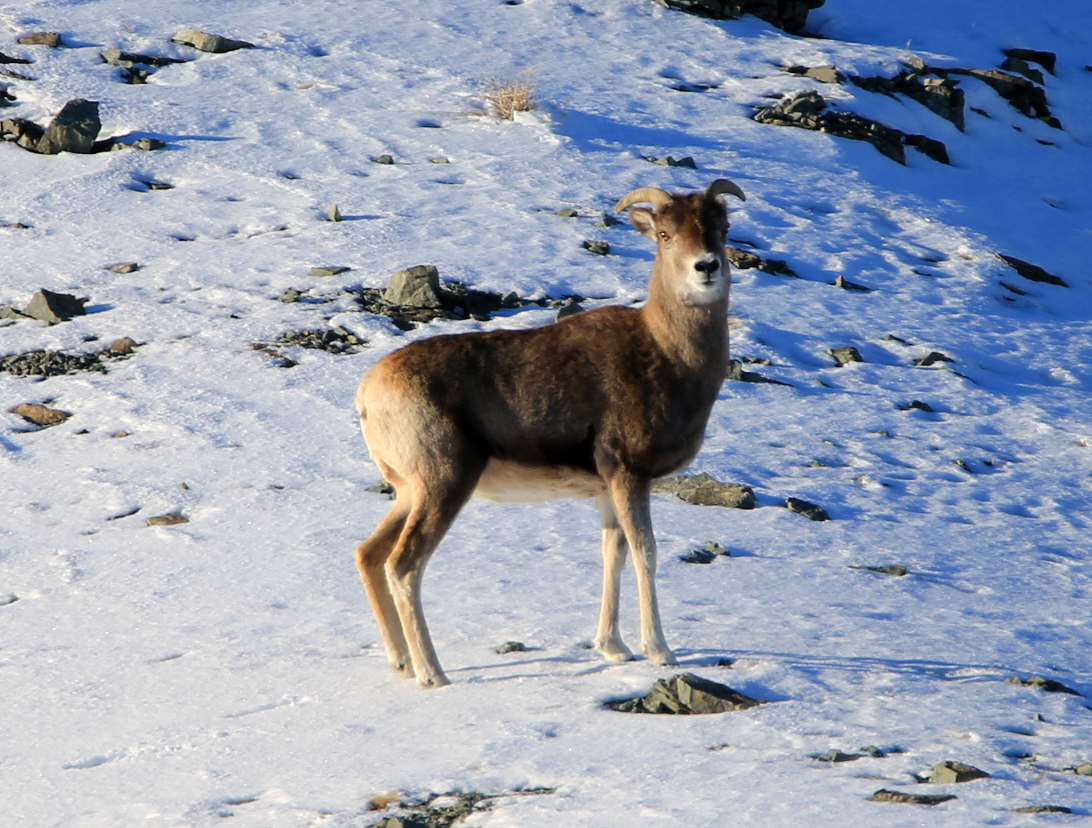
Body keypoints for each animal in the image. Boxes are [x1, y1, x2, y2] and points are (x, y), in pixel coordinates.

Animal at [353, 180, 746, 685]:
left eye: (722, 227)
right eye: (664, 234)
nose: (706, 268)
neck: (668, 356)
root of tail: (368, 393)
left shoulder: (606, 490)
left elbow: (613, 555)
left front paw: (614, 649)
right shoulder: (629, 475)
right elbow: (645, 553)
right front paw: (659, 652)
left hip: (409, 492)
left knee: (370, 555)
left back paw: (402, 663)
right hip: (444, 485)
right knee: (404, 566)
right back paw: (433, 675)